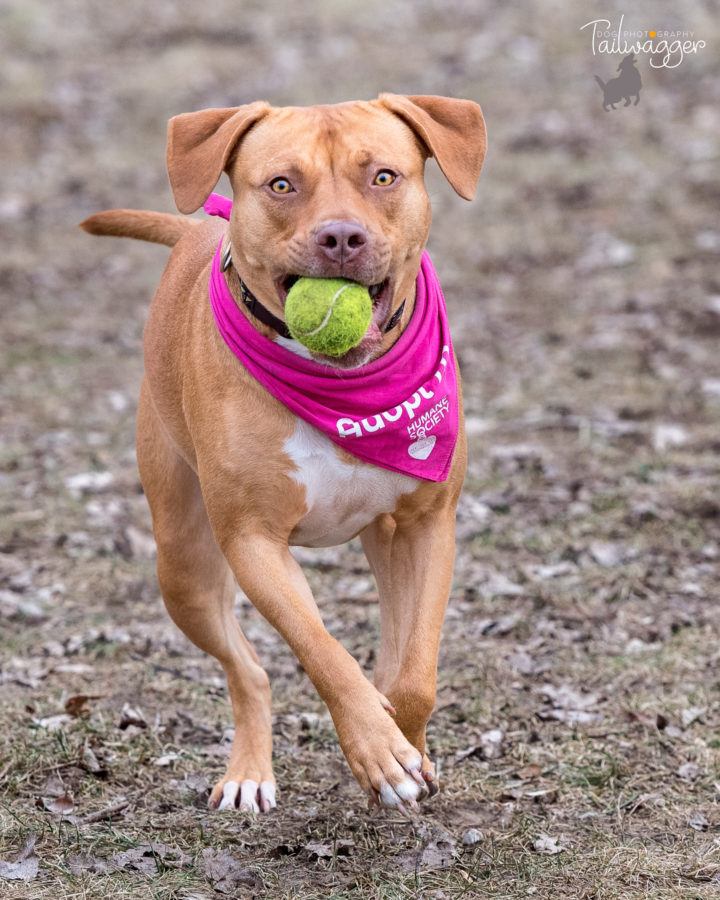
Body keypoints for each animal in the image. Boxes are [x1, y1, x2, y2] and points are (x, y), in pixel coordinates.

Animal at [83, 93, 490, 816]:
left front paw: (405, 747)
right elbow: (324, 653)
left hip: (384, 537)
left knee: (386, 645)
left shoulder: (427, 523)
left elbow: (413, 674)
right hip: (184, 567)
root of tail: (193, 232)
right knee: (247, 671)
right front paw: (380, 752)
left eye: (383, 176)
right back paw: (249, 770)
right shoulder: (253, 541)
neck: (346, 391)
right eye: (281, 185)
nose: (341, 237)